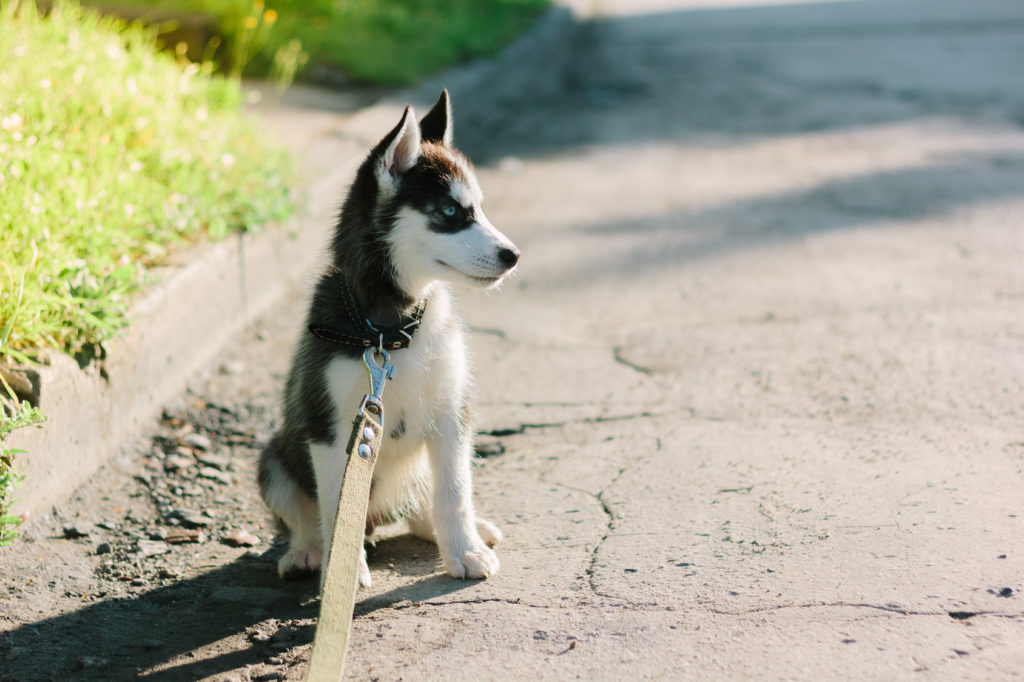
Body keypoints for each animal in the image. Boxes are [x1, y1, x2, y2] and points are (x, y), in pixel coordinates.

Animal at [258, 90, 520, 585]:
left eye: (479, 209)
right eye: (450, 212)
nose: (513, 255)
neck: (392, 330)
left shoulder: (452, 413)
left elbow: (454, 491)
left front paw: (465, 550)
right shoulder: (330, 426)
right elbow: (335, 506)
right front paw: (342, 569)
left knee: (423, 503)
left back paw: (460, 530)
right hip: (273, 460)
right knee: (302, 516)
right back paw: (306, 552)